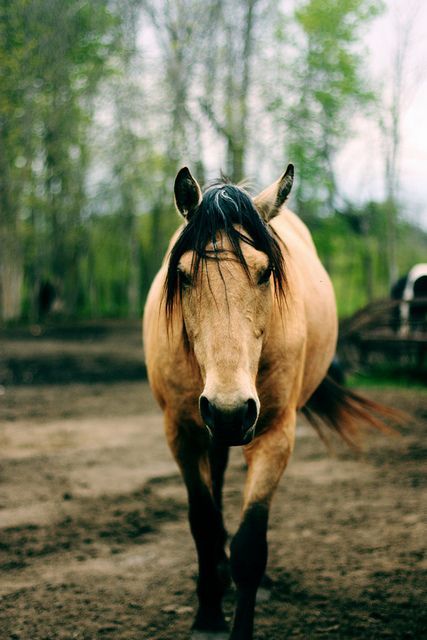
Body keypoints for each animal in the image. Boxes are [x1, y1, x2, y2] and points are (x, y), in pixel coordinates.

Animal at [143, 166, 394, 640]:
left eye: (264, 273)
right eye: (183, 275)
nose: (228, 410)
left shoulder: (274, 433)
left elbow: (250, 545)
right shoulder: (181, 432)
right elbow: (203, 522)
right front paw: (208, 615)